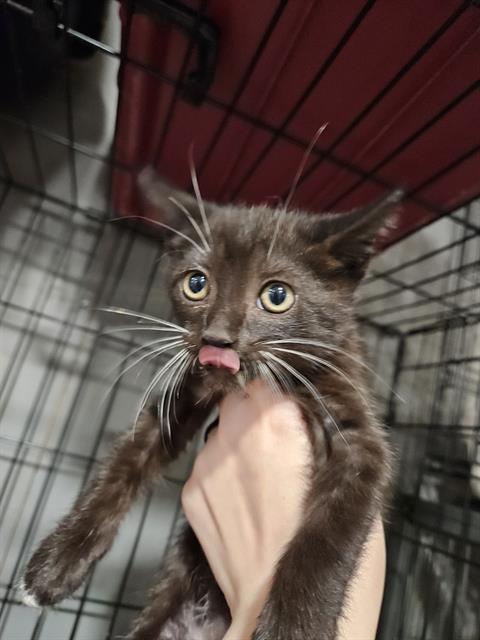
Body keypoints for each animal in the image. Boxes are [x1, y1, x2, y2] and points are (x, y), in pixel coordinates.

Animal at [20, 169, 402, 640]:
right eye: (196, 284)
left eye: (277, 296)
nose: (217, 338)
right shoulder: (185, 392)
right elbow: (124, 462)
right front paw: (56, 562)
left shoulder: (357, 433)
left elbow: (324, 540)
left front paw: (293, 627)